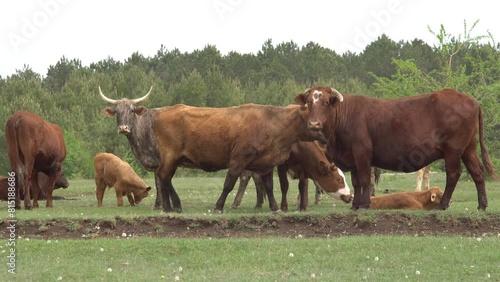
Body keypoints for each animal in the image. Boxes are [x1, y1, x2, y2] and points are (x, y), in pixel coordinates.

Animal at [98, 87, 342, 213]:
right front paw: (219, 206)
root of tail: (161, 113)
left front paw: (274, 207)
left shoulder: (265, 163)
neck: (273, 122)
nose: (324, 135)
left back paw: (172, 206)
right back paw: (170, 206)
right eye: (312, 116)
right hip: (170, 157)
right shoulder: (238, 159)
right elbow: (229, 183)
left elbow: (269, 186)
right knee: (163, 177)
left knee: (164, 178)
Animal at [294, 87, 494, 210]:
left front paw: (364, 204)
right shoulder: (353, 156)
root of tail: (472, 101)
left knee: (453, 174)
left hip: (453, 149)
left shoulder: (362, 153)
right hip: (468, 148)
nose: (314, 123)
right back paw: (482, 205)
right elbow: (357, 181)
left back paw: (442, 204)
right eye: (309, 102)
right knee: (477, 172)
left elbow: (364, 180)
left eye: (326, 102)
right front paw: (355, 205)